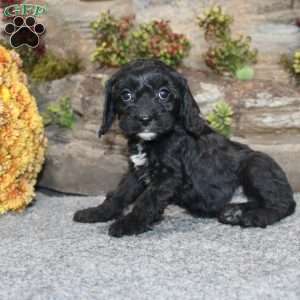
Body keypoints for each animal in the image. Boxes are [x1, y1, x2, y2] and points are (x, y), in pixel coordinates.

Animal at [73, 58, 296, 237]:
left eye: (163, 94)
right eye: (126, 95)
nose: (145, 119)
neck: (153, 141)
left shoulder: (168, 176)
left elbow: (146, 200)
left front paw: (129, 223)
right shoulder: (136, 171)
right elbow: (119, 194)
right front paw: (97, 212)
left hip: (257, 166)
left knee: (281, 204)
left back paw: (252, 217)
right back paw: (235, 212)